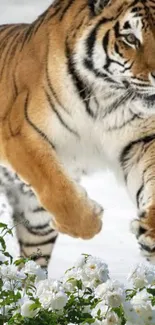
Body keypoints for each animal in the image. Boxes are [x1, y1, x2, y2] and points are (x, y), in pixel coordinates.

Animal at [0, 0, 155, 264]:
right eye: (130, 38)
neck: (106, 97)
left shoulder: (140, 141)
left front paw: (150, 234)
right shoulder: (19, 132)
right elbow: (55, 187)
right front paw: (92, 219)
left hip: (35, 224)